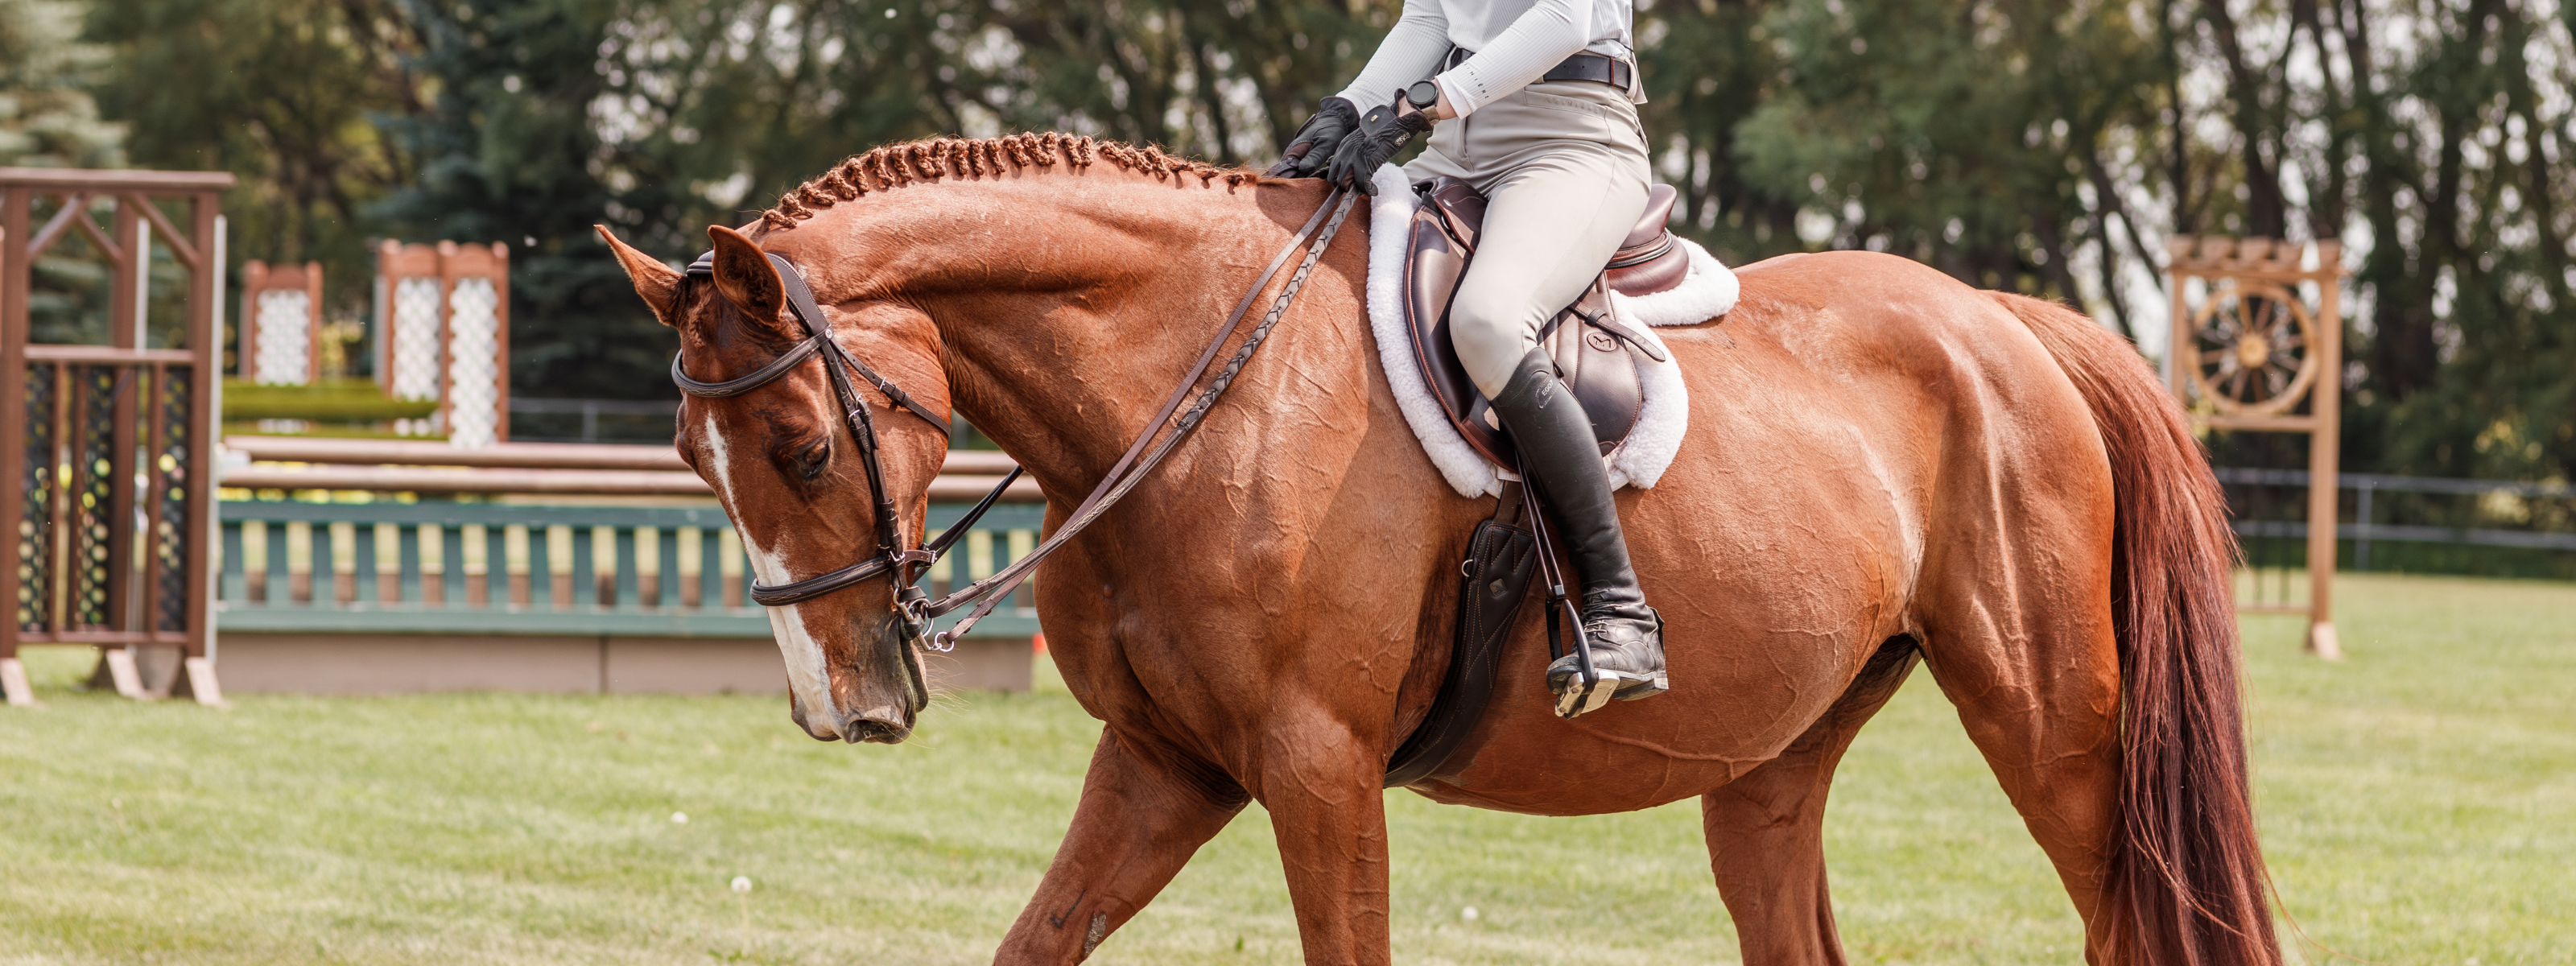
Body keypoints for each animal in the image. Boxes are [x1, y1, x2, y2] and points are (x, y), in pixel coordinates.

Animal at [598, 133, 2279, 966]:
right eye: (690, 460)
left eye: (804, 450)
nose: (844, 705)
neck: (1198, 387)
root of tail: (2015, 325)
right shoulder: (1166, 763)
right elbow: (1039, 940)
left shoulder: (1318, 769)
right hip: (1771, 769)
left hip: (2054, 730)